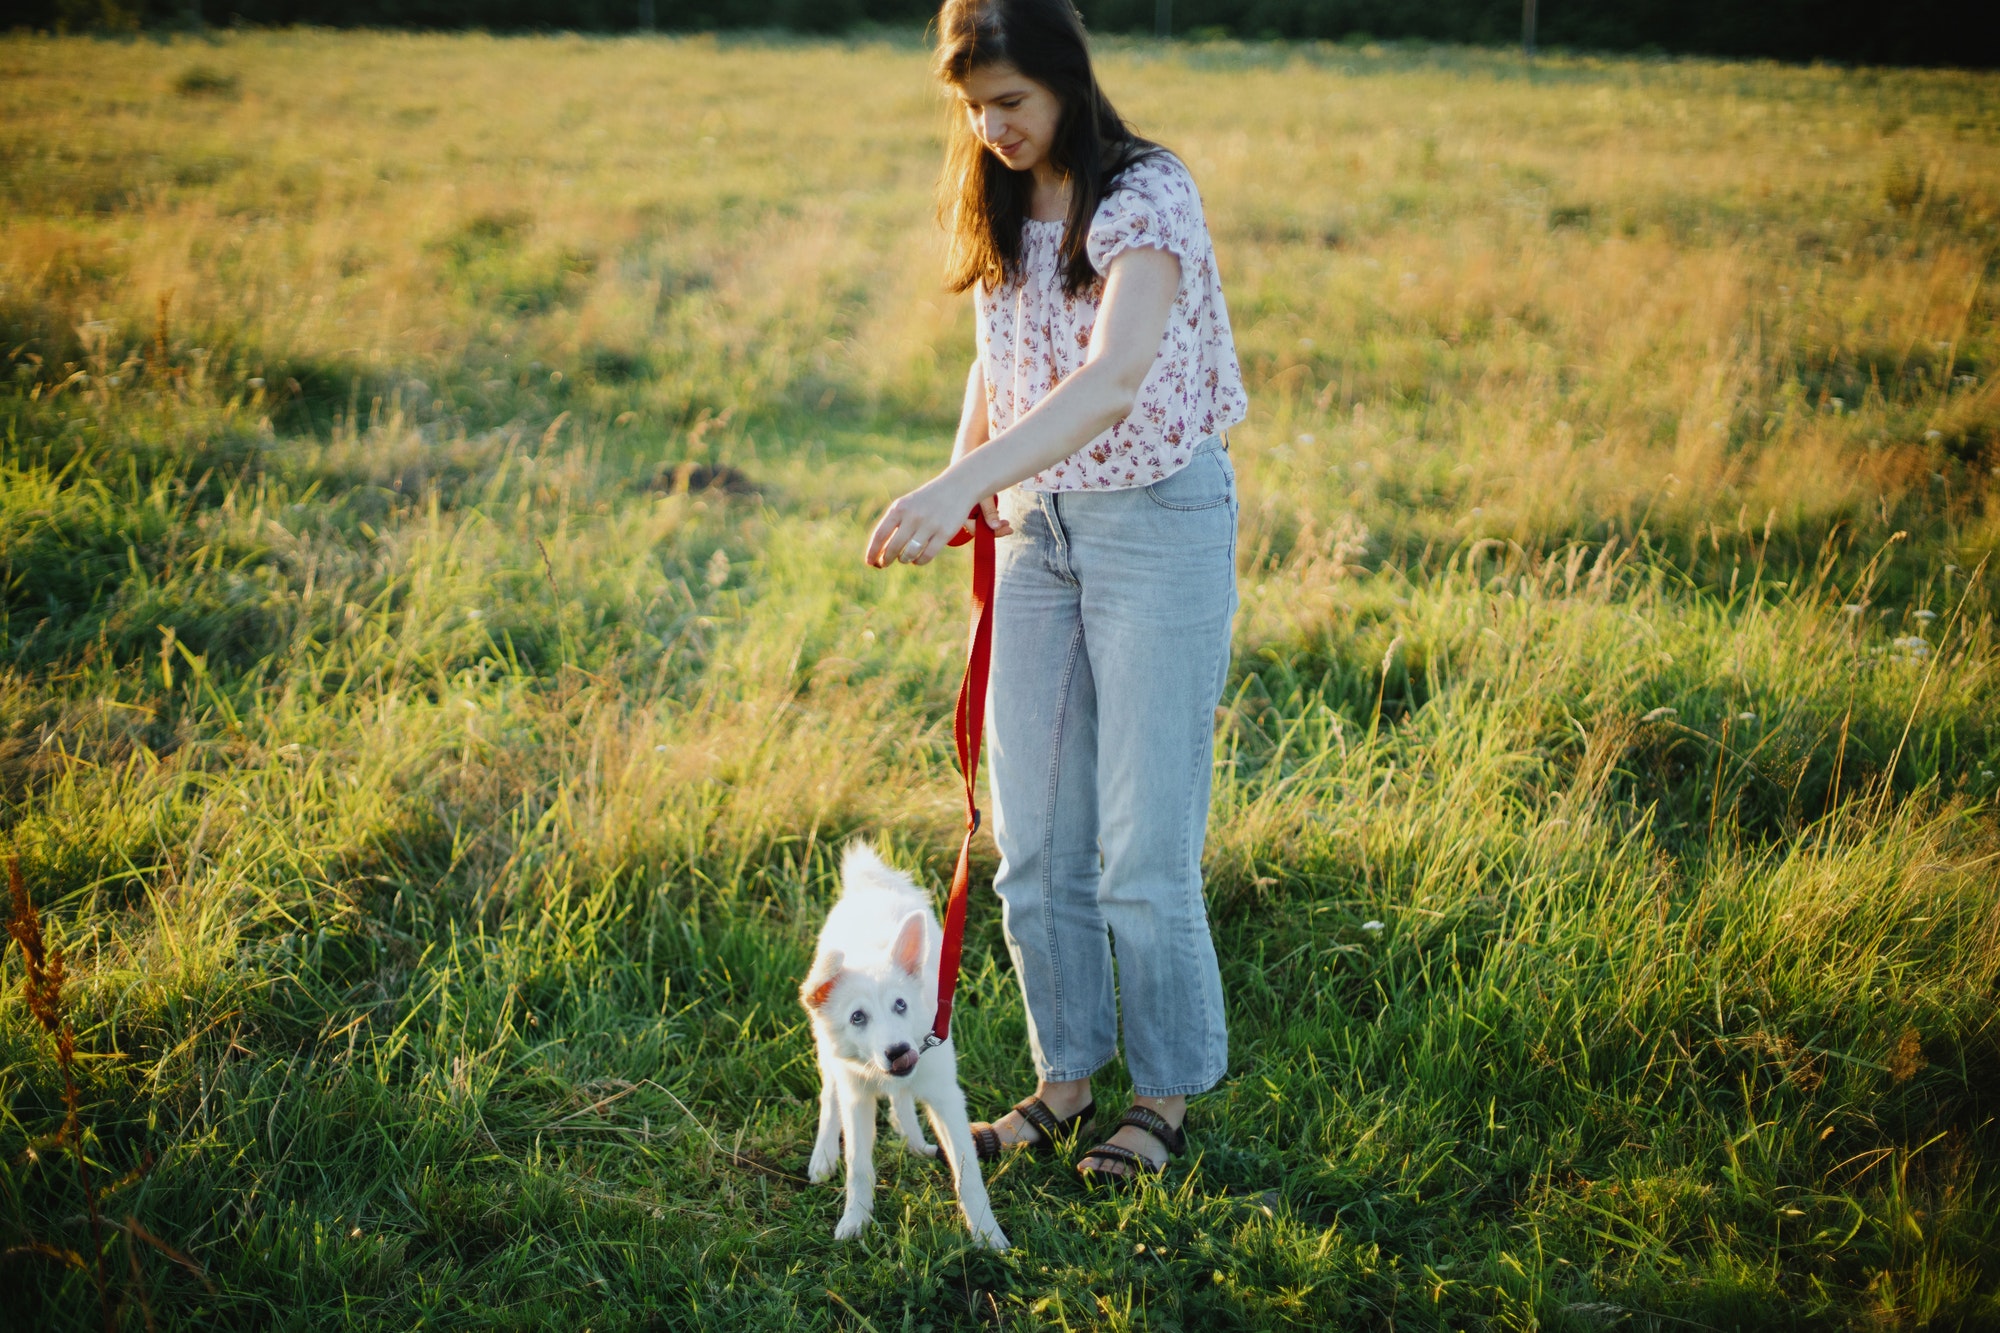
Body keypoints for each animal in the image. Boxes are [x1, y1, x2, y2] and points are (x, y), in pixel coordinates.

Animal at [800, 840, 1008, 1248]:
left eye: (901, 1005)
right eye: (857, 1017)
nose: (899, 1052)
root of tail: (869, 886)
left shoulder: (946, 1095)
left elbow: (968, 1173)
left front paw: (986, 1233)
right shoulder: (857, 1096)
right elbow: (858, 1167)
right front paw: (855, 1219)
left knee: (901, 1098)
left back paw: (912, 1138)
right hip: (828, 1053)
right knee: (829, 1096)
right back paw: (824, 1156)